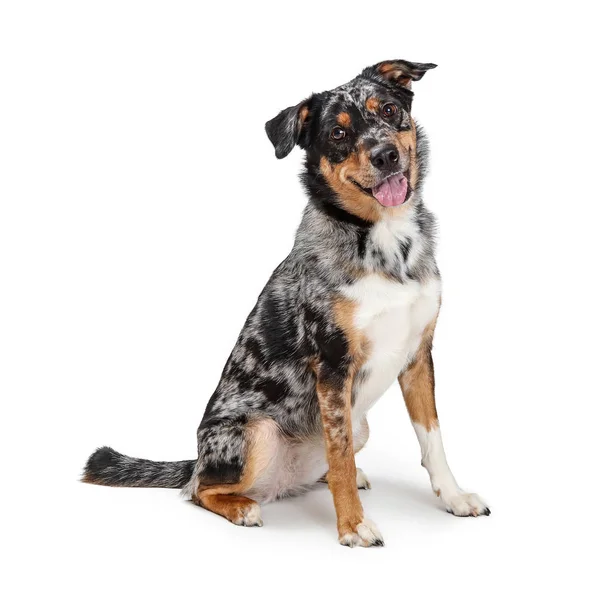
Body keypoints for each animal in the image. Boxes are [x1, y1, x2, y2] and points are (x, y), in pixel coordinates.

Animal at [83, 58, 488, 548]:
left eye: (389, 109)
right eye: (337, 132)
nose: (385, 155)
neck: (384, 238)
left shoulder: (418, 355)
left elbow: (432, 440)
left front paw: (454, 497)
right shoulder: (333, 364)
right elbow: (340, 453)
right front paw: (353, 526)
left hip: (360, 424)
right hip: (256, 434)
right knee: (198, 489)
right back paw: (243, 506)